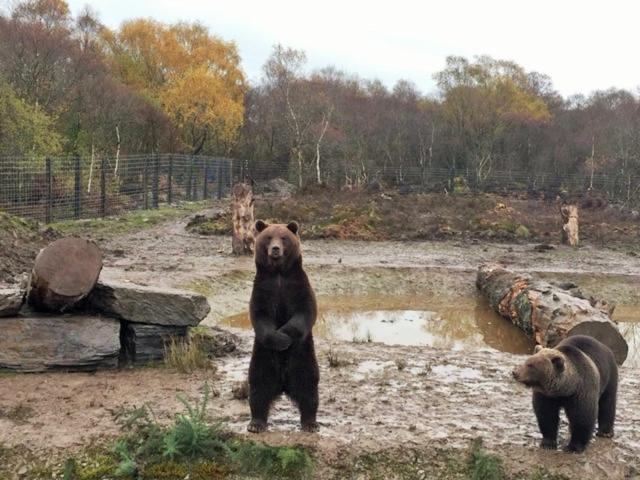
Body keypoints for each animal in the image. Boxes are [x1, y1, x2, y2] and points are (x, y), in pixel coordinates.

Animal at [249, 219, 322, 434]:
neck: (279, 274)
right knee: (258, 386)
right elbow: (260, 317)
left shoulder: (298, 288)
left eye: (283, 238)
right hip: (262, 358)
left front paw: (284, 335)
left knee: (308, 387)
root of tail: (282, 384)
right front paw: (278, 339)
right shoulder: (263, 290)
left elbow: (305, 313)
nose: (275, 249)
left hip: (303, 359)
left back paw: (310, 422)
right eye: (268, 237)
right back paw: (256, 423)